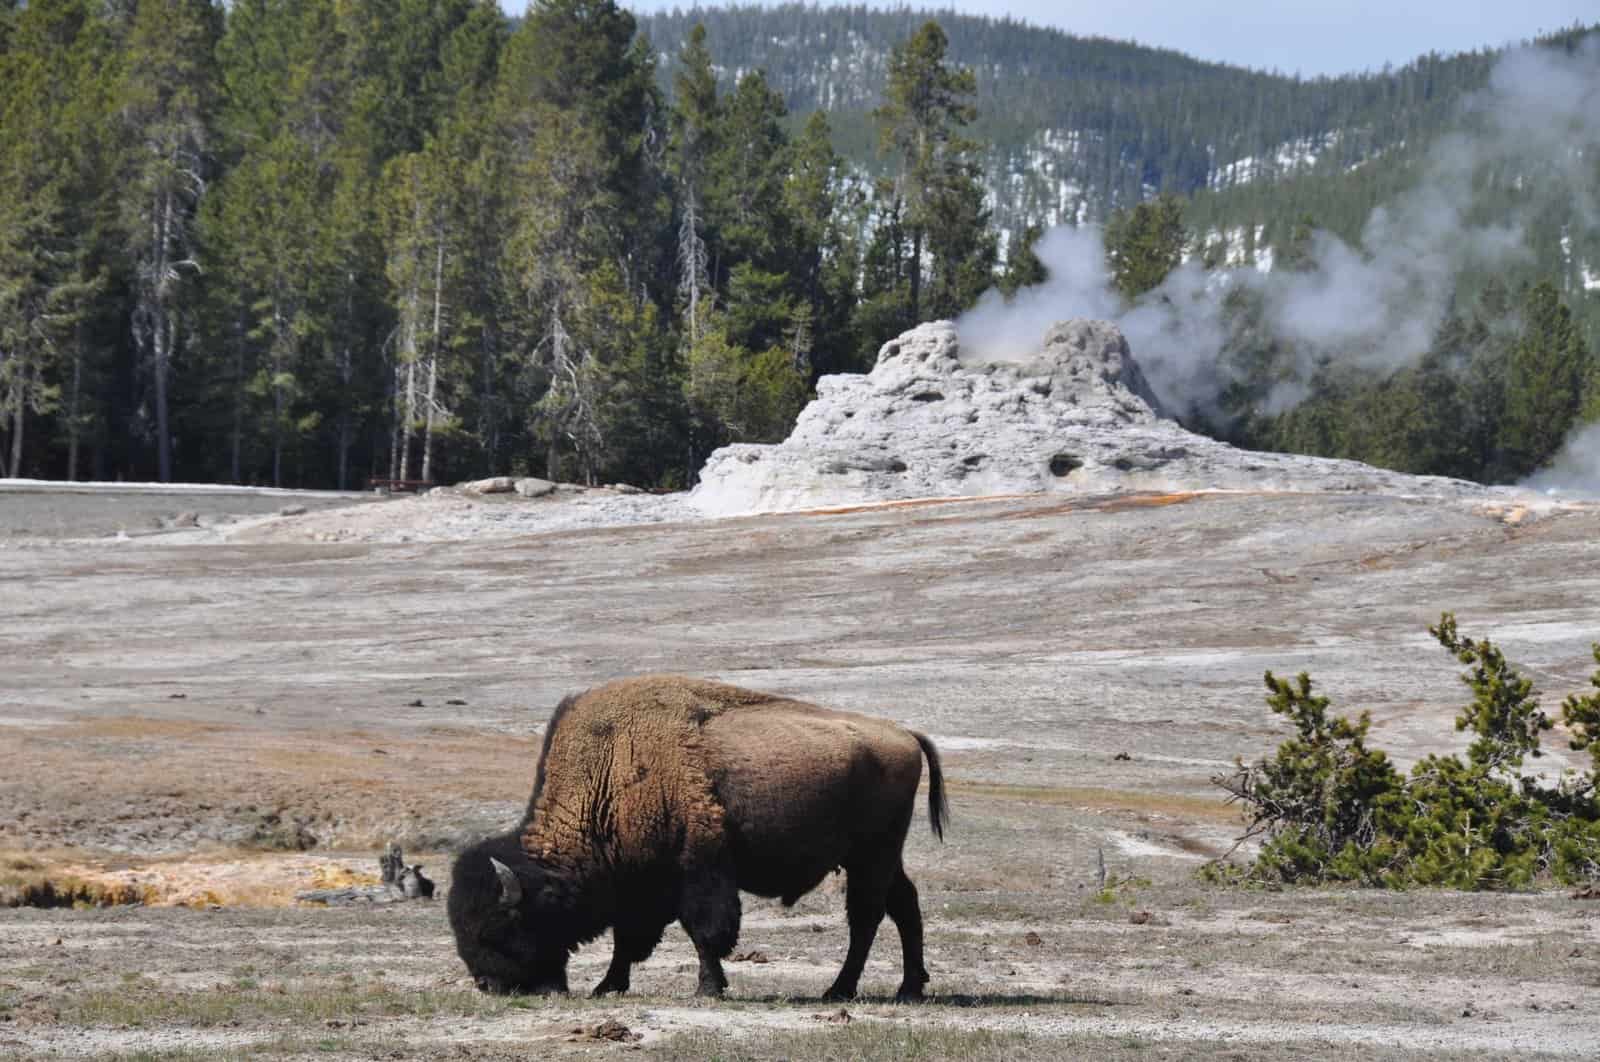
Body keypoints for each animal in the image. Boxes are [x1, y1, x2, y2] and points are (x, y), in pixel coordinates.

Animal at [448, 675, 949, 1001]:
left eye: (497, 928)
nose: (488, 986)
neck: (611, 772)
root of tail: (904, 734)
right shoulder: (640, 886)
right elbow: (628, 940)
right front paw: (607, 987)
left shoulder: (698, 871)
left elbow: (703, 932)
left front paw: (708, 989)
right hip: (880, 857)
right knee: (903, 906)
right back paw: (908, 988)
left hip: (872, 855)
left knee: (867, 917)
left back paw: (839, 991)